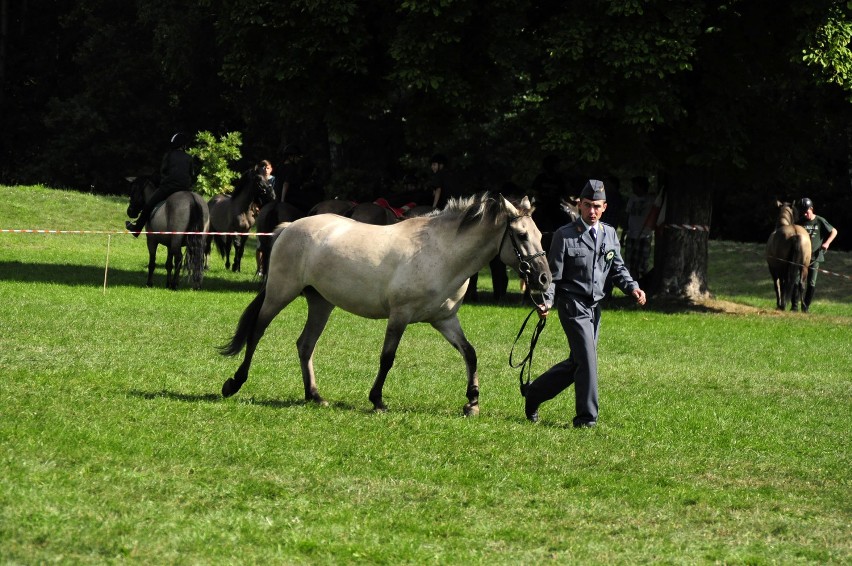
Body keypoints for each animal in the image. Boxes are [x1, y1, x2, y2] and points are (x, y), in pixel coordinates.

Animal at [221, 195, 552, 418]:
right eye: (521, 235)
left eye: (539, 234)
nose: (544, 279)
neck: (441, 253)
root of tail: (289, 227)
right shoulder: (400, 315)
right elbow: (387, 358)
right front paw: (377, 399)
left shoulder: (444, 319)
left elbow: (470, 353)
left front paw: (472, 402)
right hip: (280, 293)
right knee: (257, 332)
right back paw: (234, 383)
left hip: (321, 303)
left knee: (305, 344)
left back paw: (314, 396)